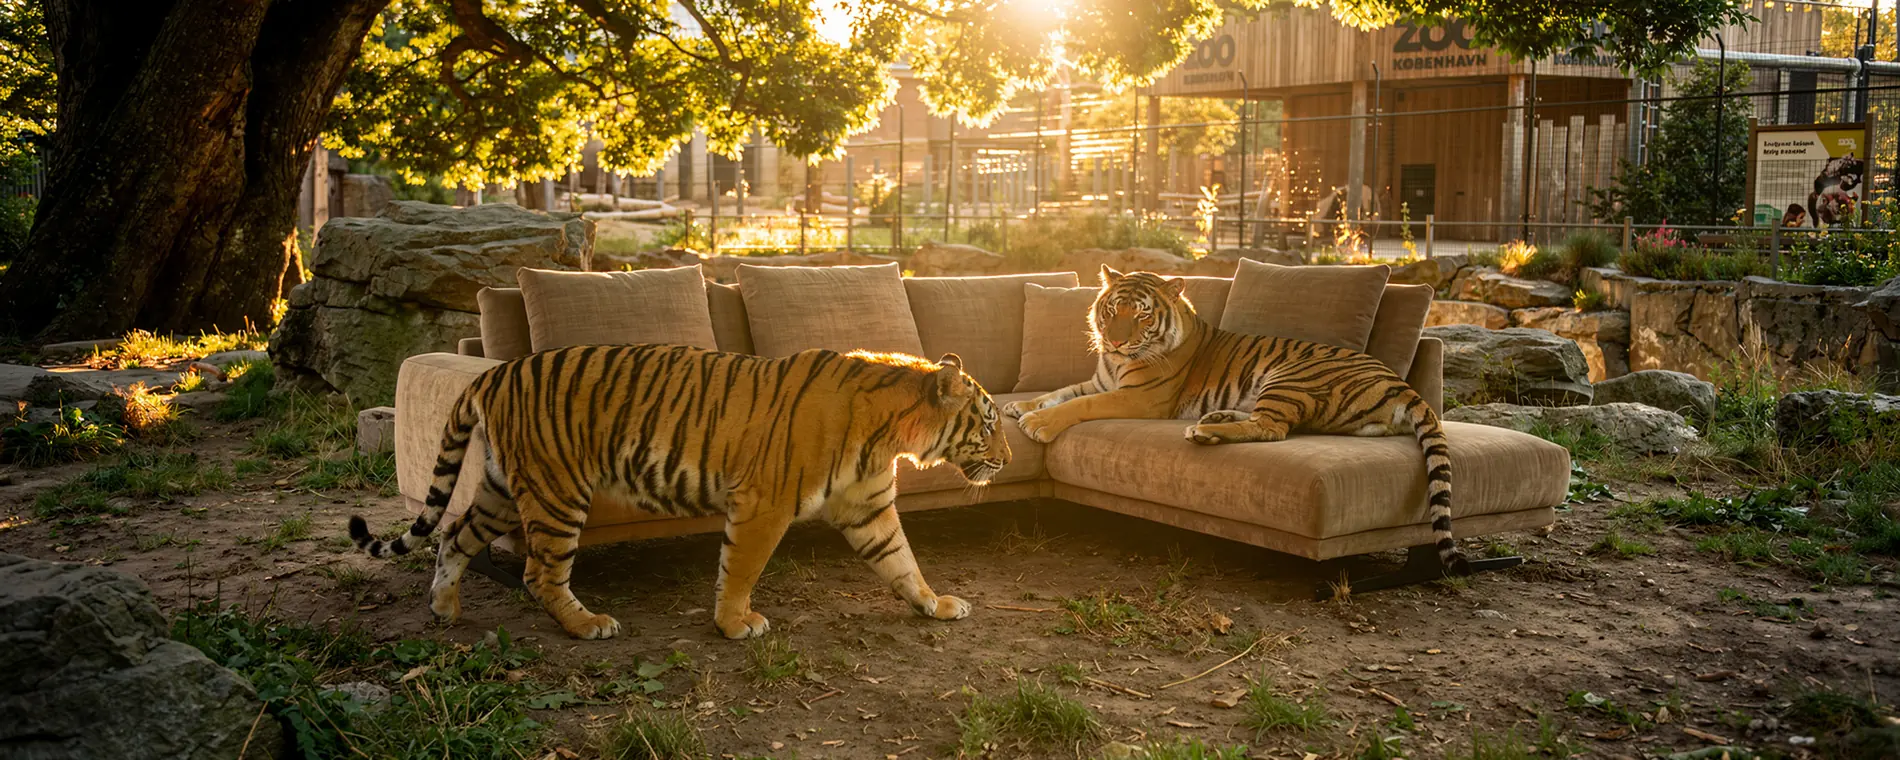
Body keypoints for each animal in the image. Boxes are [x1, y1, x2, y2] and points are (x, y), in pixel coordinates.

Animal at [347, 344, 1011, 640]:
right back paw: (588, 624)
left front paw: (935, 605)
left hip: (502, 488)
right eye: (988, 423)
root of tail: (493, 371)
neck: (891, 433)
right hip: (558, 491)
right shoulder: (763, 504)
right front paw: (736, 624)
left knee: (454, 537)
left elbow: (903, 562)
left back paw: (445, 609)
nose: (1006, 462)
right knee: (539, 572)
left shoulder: (868, 507)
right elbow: (741, 568)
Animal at [1006, 266, 1468, 573]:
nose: (1116, 342)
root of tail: (1400, 382)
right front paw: (1021, 407)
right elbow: (1060, 393)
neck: (1117, 364)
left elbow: (1078, 407)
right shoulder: (1098, 381)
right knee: (1281, 425)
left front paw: (1038, 424)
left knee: (1274, 429)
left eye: (1141, 315)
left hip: (1291, 376)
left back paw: (1204, 432)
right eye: (1111, 310)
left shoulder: (1140, 399)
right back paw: (1216, 416)